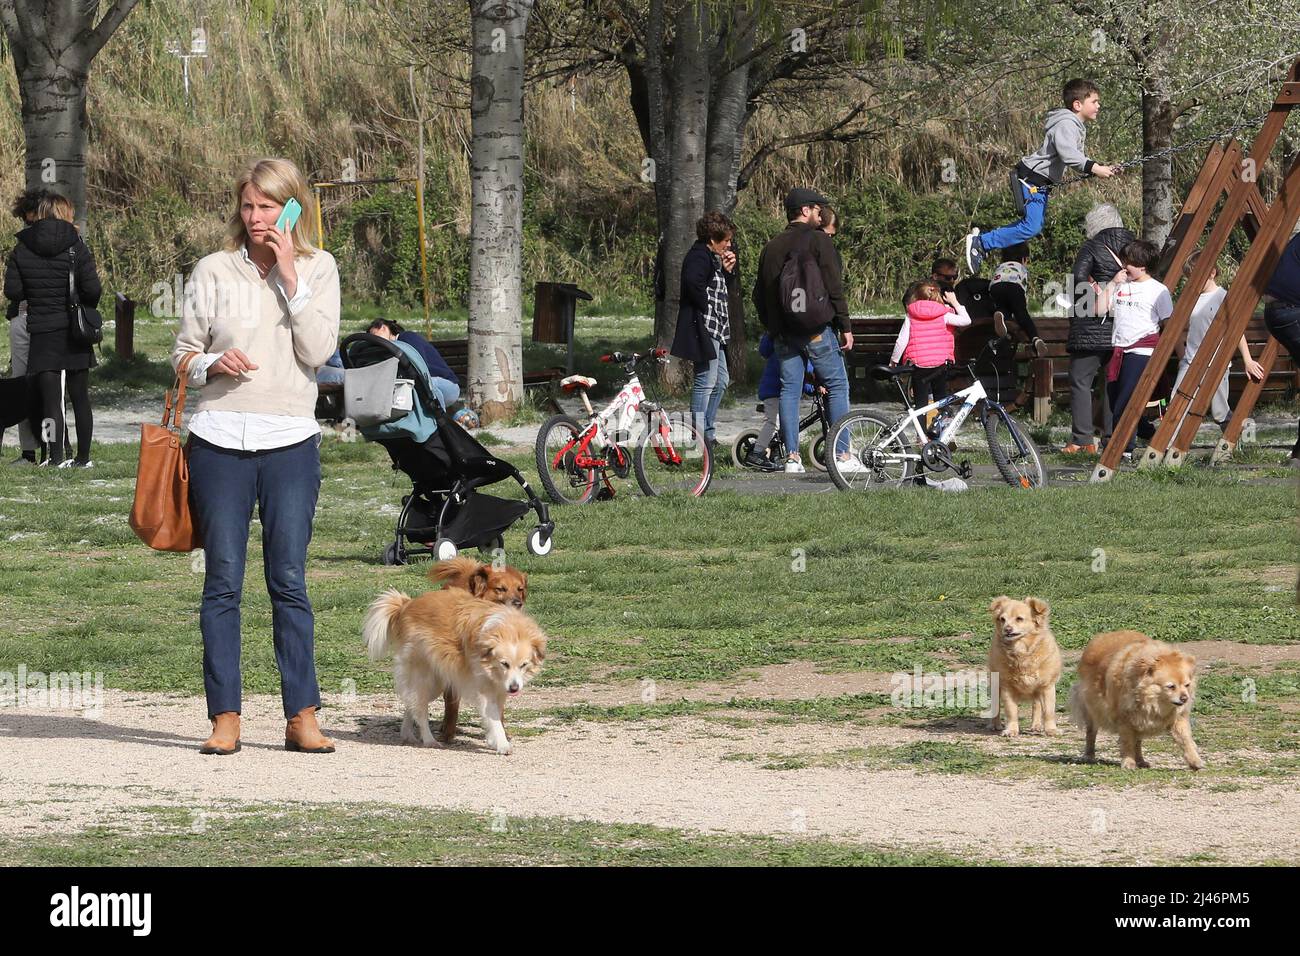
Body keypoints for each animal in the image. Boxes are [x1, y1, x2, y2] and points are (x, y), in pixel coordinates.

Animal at [364, 582, 546, 754]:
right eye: (504, 663)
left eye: (524, 665)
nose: (514, 689)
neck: (509, 629)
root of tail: (405, 604)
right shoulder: (485, 689)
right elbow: (494, 718)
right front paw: (502, 744)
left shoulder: (501, 689)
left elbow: (497, 716)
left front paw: (494, 740)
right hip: (423, 678)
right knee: (420, 709)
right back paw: (429, 740)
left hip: (436, 684)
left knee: (412, 703)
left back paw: (407, 734)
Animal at [987, 598, 1060, 738]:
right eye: (1002, 619)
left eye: (1019, 619)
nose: (1007, 629)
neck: (1022, 650)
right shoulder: (1007, 687)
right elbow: (1011, 711)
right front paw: (1011, 730)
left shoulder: (1046, 686)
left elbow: (1048, 711)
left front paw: (1051, 729)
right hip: (995, 684)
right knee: (996, 706)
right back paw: (995, 724)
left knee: (1037, 705)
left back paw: (1036, 725)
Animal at [1071, 632, 1201, 775]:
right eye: (1171, 686)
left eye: (1187, 685)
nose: (1185, 698)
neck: (1151, 702)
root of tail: (1101, 636)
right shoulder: (1125, 721)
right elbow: (1127, 743)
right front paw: (1128, 762)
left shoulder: (1177, 719)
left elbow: (1186, 740)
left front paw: (1194, 761)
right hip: (1093, 711)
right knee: (1091, 733)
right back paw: (1089, 755)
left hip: (1139, 721)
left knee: (1138, 742)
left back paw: (1141, 760)